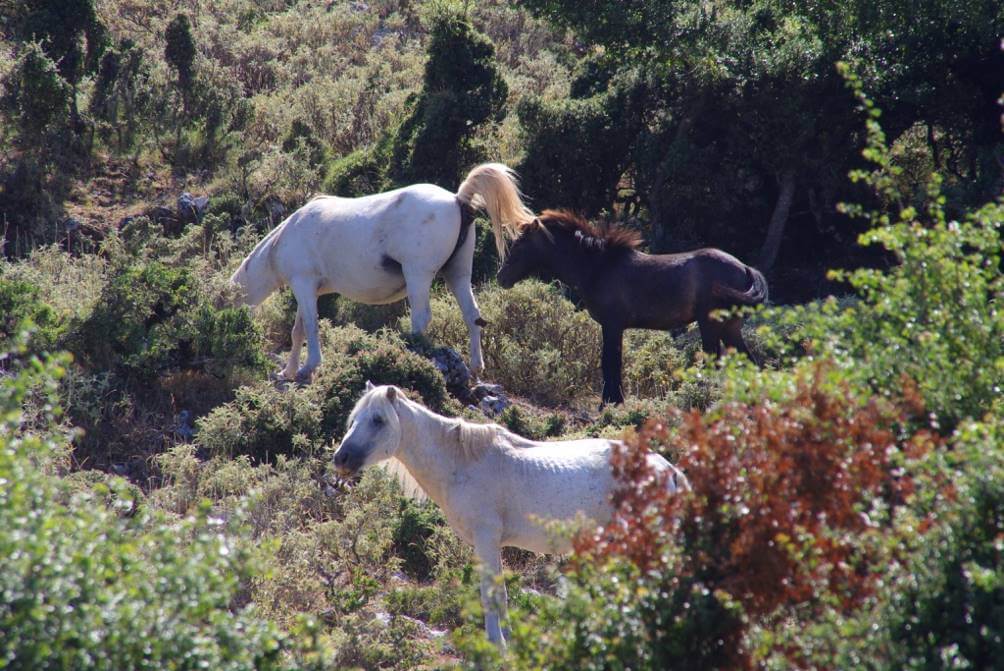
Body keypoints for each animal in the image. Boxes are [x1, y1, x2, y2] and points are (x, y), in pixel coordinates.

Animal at [231, 162, 538, 381]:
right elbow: (298, 331)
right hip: (458, 275)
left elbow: (310, 326)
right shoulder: (309, 290)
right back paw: (475, 368)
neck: (287, 236)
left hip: (418, 275)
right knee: (473, 316)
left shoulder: (304, 285)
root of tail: (457, 200)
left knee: (421, 318)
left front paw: (308, 368)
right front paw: (289, 371)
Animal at [333, 385, 686, 646]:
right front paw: (509, 640)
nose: (341, 458)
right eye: (353, 419)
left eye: (378, 420)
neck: (461, 462)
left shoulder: (486, 539)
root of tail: (667, 469)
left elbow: (491, 594)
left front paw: (496, 644)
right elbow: (501, 595)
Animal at [495, 210, 767, 403]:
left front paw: (610, 403)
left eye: (519, 245)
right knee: (751, 362)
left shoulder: (612, 325)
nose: (501, 277)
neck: (598, 267)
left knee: (716, 362)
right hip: (730, 328)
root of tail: (744, 268)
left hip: (710, 325)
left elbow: (610, 362)